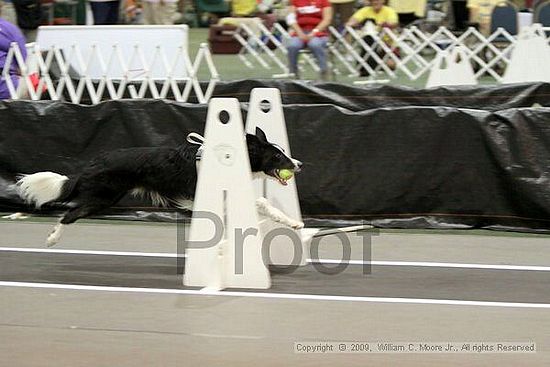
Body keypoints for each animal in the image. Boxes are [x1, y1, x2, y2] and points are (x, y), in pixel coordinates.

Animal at [16, 129, 306, 247]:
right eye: (277, 156)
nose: (299, 164)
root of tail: (95, 160)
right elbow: (258, 204)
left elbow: (263, 204)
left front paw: (292, 222)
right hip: (103, 197)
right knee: (69, 214)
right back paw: (52, 238)